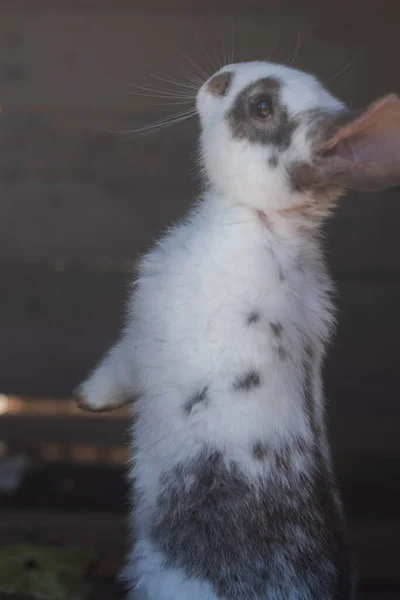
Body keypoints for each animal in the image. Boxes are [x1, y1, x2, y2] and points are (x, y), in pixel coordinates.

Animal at [74, 62, 400, 600]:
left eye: (263, 107)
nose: (220, 77)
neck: (263, 221)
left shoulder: (142, 336)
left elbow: (116, 368)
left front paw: (87, 399)